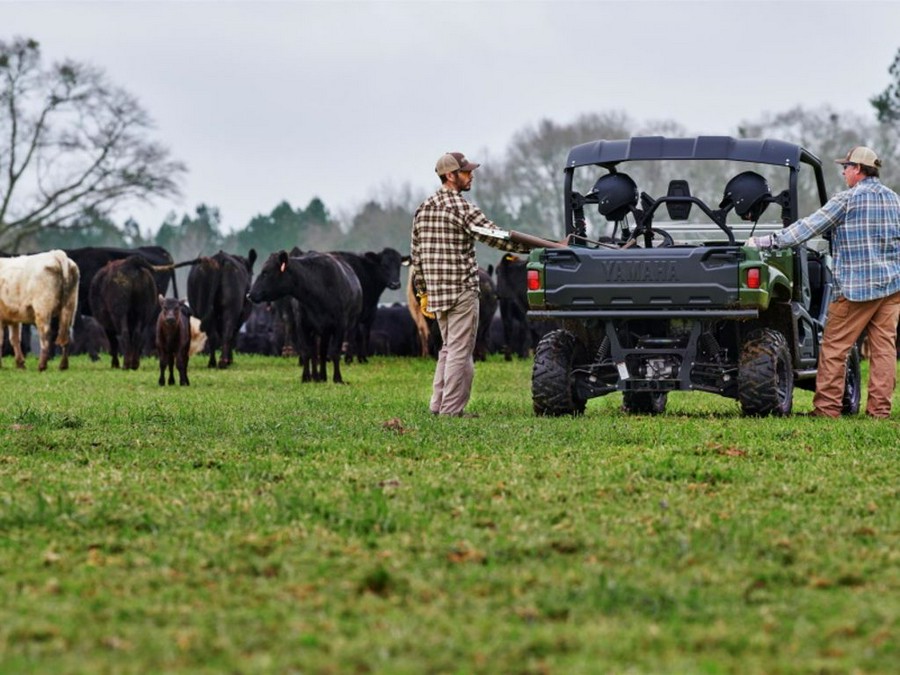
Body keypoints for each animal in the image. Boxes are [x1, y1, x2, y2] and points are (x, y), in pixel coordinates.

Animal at [250, 250, 362, 386]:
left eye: (266, 272)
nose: (250, 294)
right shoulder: (302, 325)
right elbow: (306, 352)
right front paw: (306, 377)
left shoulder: (340, 325)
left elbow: (335, 352)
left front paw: (338, 378)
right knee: (316, 353)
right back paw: (318, 377)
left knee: (322, 352)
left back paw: (322, 376)